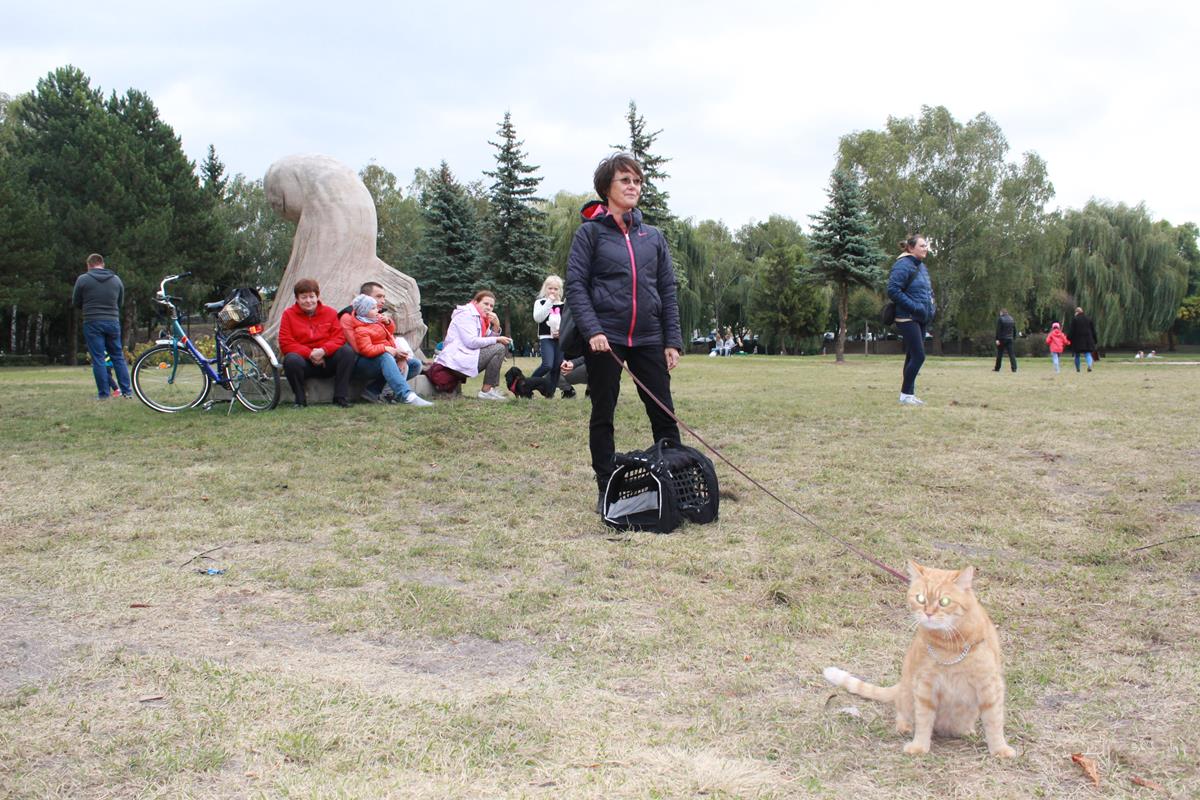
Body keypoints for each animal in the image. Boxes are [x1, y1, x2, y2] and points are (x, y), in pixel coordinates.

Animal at [823, 560, 1016, 758]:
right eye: (921, 599)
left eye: (944, 602)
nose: (928, 613)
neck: (949, 646)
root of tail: (900, 685)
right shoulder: (925, 685)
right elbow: (923, 720)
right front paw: (919, 747)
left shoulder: (990, 686)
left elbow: (994, 722)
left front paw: (1000, 749)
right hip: (908, 694)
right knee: (901, 710)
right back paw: (905, 726)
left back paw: (966, 730)